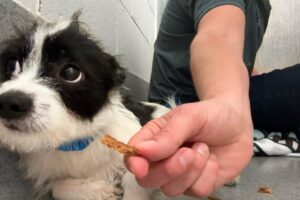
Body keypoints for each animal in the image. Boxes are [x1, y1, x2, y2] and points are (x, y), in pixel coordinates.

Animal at [0, 13, 169, 199]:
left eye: (71, 73)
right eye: (11, 65)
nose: (7, 103)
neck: (74, 142)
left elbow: (132, 180)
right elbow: (58, 187)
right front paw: (99, 190)